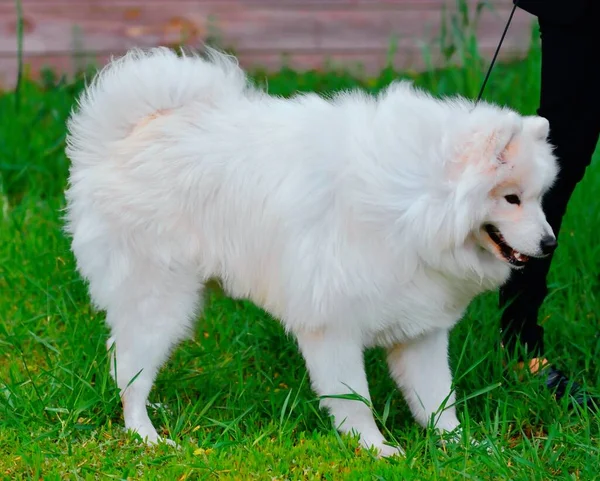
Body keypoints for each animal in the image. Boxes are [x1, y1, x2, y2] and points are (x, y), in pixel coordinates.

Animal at [63, 47, 560, 456]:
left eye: (539, 198)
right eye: (510, 199)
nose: (550, 243)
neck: (414, 204)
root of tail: (123, 136)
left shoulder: (421, 330)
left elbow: (438, 400)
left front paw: (463, 446)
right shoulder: (332, 327)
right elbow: (354, 399)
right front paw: (377, 449)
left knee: (124, 360)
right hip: (162, 300)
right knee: (129, 367)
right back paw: (145, 434)